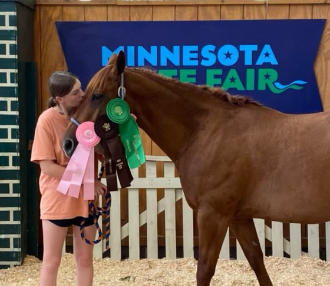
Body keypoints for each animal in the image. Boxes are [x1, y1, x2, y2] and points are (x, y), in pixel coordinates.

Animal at [62, 51, 330, 286]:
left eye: (97, 95)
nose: (68, 143)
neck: (208, 131)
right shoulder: (238, 217)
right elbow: (256, 261)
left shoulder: (213, 215)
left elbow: (205, 270)